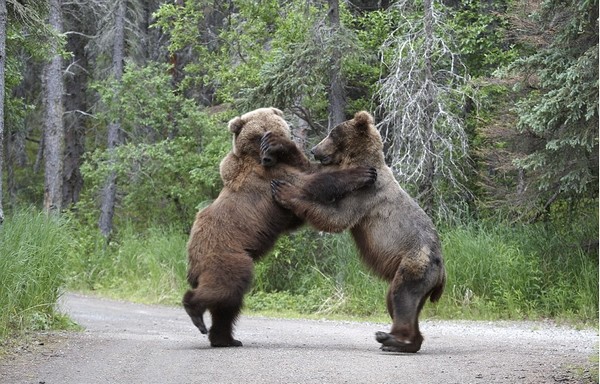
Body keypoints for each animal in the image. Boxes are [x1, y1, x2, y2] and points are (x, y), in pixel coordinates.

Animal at [184, 106, 380, 346]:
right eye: (258, 135)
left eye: (272, 132)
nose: (267, 157)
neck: (257, 160)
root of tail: (193, 255)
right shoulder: (271, 178)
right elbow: (313, 182)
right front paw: (363, 173)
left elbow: (307, 168)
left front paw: (287, 146)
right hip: (227, 254)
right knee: (228, 286)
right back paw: (195, 310)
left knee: (228, 303)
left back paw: (225, 339)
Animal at [270, 109, 446, 352]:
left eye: (332, 133)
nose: (315, 149)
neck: (355, 161)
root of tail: (442, 271)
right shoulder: (344, 174)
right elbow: (315, 172)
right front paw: (280, 145)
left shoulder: (365, 194)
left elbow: (336, 217)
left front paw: (285, 191)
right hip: (417, 276)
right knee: (397, 301)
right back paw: (402, 342)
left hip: (415, 265)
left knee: (402, 298)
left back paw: (390, 339)